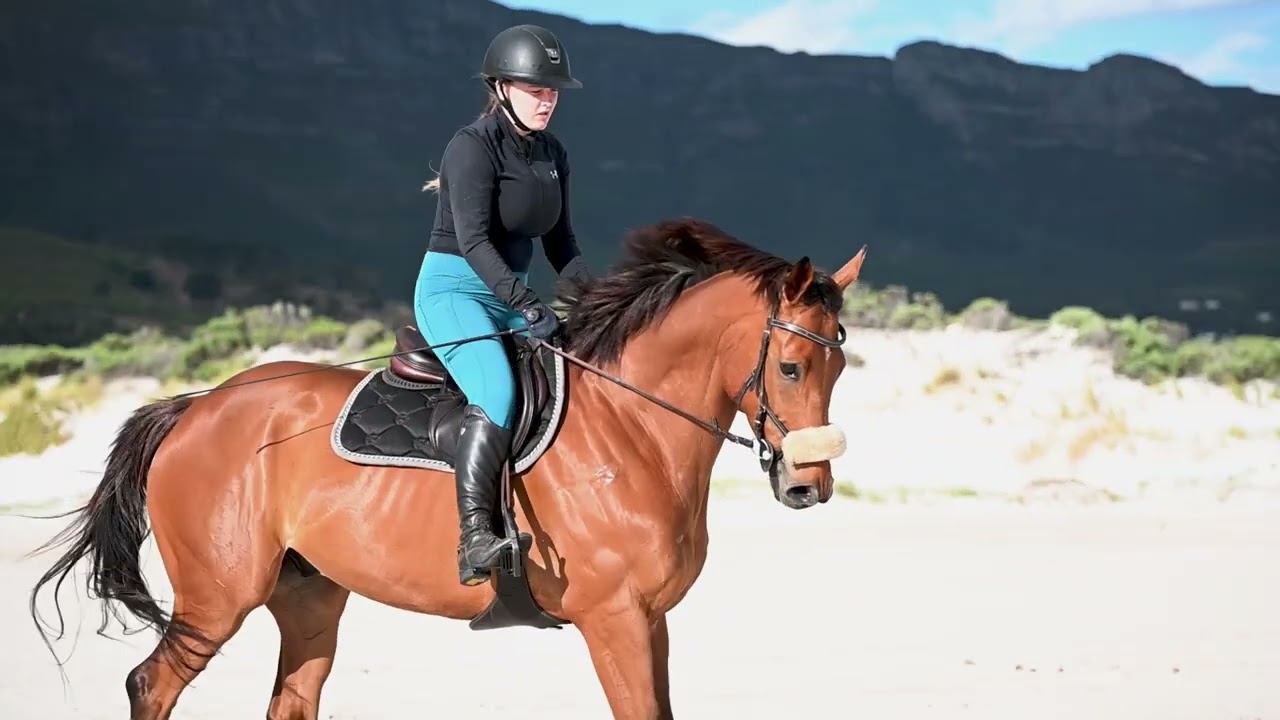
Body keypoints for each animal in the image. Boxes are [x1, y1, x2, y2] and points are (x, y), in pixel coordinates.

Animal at [28, 216, 866, 720]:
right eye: (791, 367)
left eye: (841, 364)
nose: (807, 486)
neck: (632, 430)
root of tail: (197, 406)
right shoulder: (615, 619)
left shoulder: (651, 621)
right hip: (216, 599)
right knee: (150, 684)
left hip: (309, 600)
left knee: (289, 699)